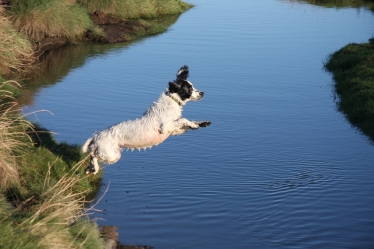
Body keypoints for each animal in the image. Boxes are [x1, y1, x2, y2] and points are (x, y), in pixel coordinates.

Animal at [81, 66, 210, 175]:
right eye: (190, 89)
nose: (202, 93)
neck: (171, 102)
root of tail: (97, 135)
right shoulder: (165, 127)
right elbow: (183, 119)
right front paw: (194, 124)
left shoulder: (173, 131)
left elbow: (187, 124)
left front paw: (200, 123)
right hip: (111, 155)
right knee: (92, 155)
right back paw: (94, 168)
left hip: (112, 154)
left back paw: (90, 169)